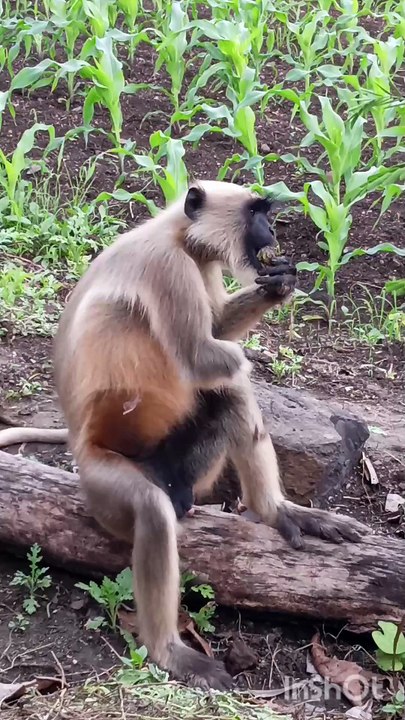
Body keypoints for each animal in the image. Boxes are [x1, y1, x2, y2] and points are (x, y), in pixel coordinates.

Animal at [0, 180, 368, 691]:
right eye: (256, 213)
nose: (272, 230)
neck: (176, 233)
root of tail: (79, 444)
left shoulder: (201, 261)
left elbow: (217, 335)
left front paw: (281, 282)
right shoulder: (171, 268)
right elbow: (201, 356)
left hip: (189, 467)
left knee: (230, 398)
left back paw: (274, 510)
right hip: (103, 483)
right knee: (157, 508)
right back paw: (167, 651)